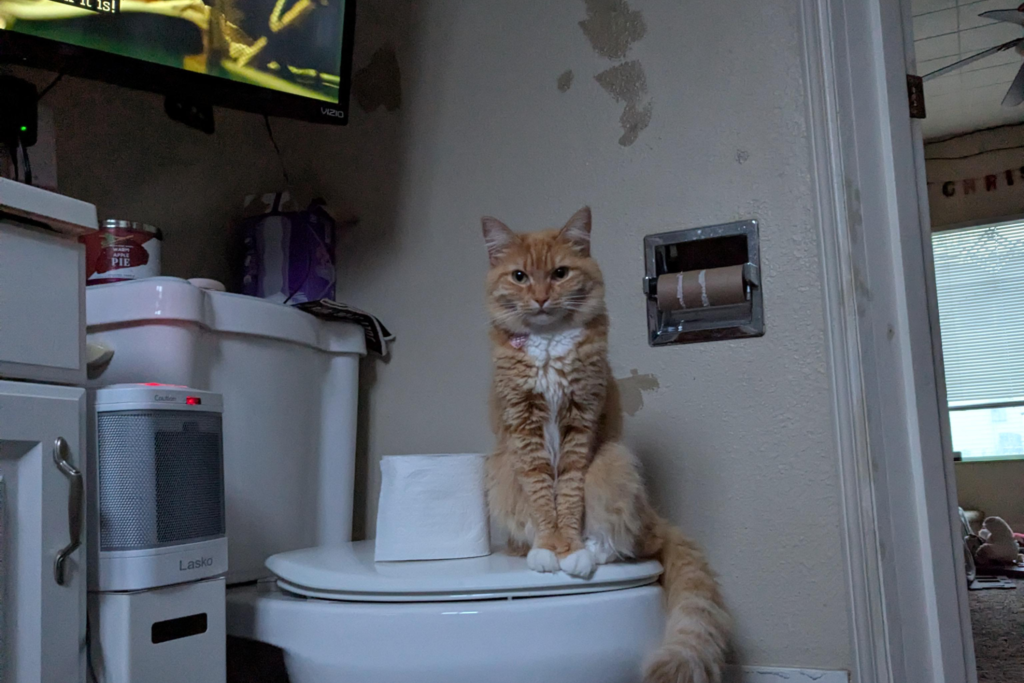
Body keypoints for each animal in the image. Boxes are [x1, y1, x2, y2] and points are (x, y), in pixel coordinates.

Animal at [481, 208, 729, 683]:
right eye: (520, 276)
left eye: (560, 273)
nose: (541, 298)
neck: (547, 343)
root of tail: (657, 519)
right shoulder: (525, 432)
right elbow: (543, 496)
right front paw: (550, 546)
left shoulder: (581, 426)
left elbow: (568, 495)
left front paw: (569, 547)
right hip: (501, 470)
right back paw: (536, 551)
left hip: (613, 462)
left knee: (629, 541)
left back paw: (586, 554)